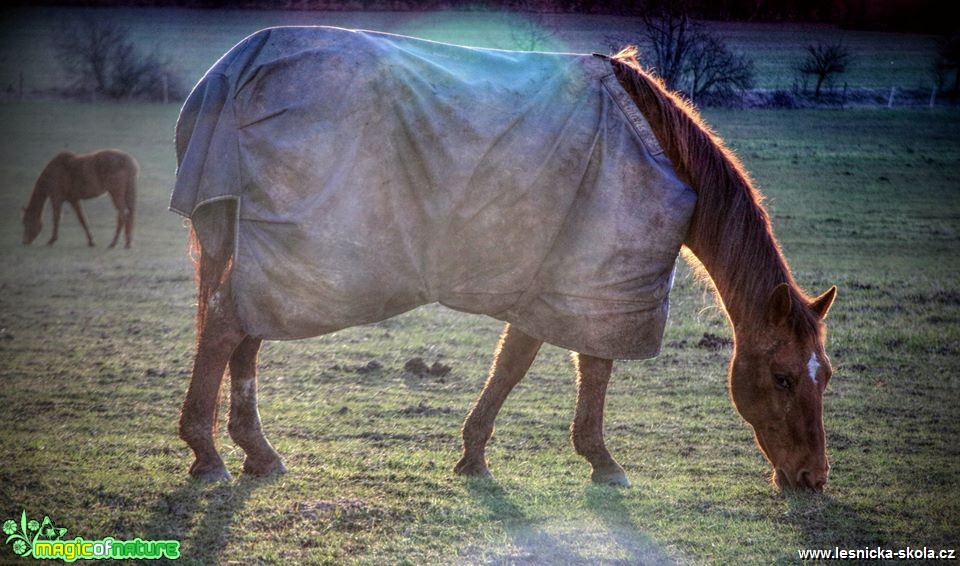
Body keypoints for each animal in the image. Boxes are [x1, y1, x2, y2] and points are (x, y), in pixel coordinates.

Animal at [174, 28, 840, 494]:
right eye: (783, 377)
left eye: (825, 376)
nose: (812, 479)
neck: (660, 152)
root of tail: (229, 73)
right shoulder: (594, 278)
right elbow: (566, 366)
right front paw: (596, 459)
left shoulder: (563, 280)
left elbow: (522, 363)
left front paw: (477, 453)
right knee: (227, 329)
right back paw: (208, 456)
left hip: (247, 249)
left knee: (238, 334)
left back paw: (257, 453)